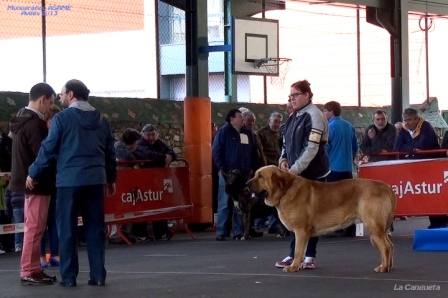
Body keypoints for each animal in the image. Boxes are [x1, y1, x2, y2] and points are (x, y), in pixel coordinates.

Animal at [247, 165, 398, 272]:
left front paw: (293, 267)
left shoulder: (300, 231)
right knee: (390, 245)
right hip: (379, 229)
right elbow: (300, 250)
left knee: (385, 246)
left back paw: (383, 268)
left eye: (260, 176)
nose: (246, 184)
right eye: (255, 174)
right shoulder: (301, 234)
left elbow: (297, 251)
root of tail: (386, 187)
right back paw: (389, 266)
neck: (285, 190)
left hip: (373, 226)